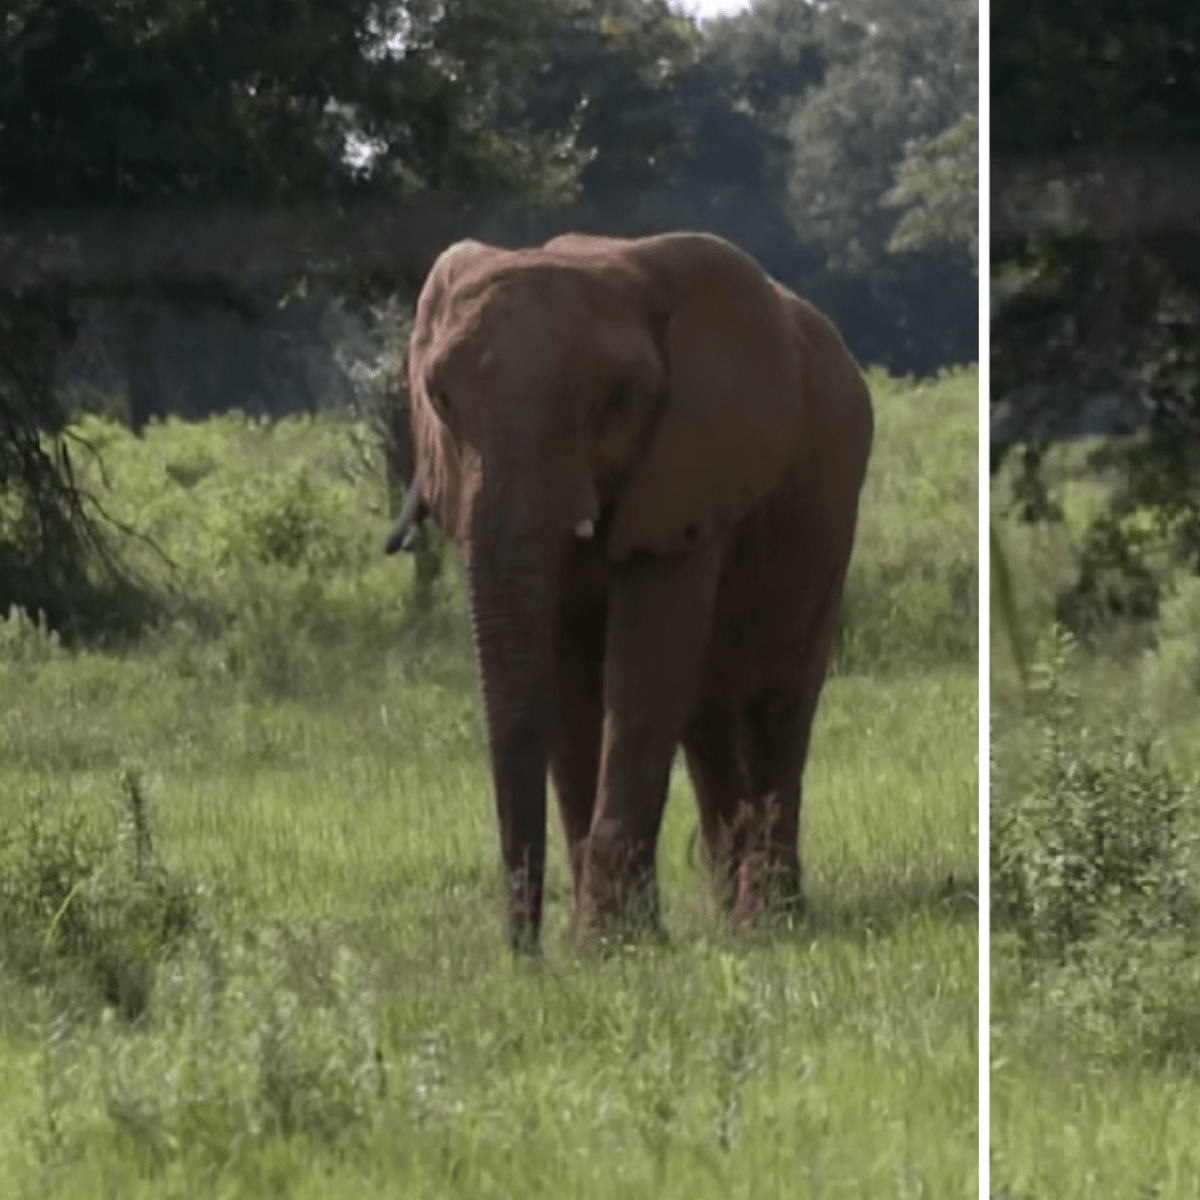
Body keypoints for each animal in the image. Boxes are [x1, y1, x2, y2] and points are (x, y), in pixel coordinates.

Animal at [386, 229, 873, 950]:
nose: (526, 956)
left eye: (616, 400)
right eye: (441, 400)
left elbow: (643, 672)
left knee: (774, 698)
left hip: (828, 513)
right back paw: (730, 912)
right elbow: (568, 689)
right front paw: (619, 942)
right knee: (708, 714)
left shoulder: (692, 467)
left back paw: (766, 921)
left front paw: (607, 946)